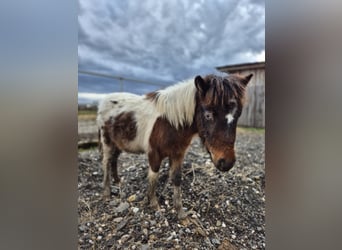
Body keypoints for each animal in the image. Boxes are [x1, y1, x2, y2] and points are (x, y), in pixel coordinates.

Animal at [97, 73, 252, 219]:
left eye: (238, 115)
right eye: (208, 115)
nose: (226, 163)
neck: (170, 123)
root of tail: (104, 101)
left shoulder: (178, 153)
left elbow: (177, 178)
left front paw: (181, 213)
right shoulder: (154, 154)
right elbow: (154, 177)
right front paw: (154, 204)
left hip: (118, 144)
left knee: (114, 160)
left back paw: (118, 181)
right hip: (107, 142)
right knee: (106, 162)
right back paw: (106, 193)